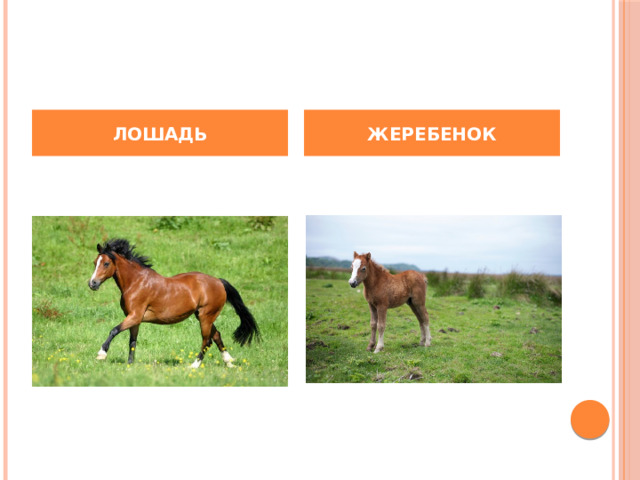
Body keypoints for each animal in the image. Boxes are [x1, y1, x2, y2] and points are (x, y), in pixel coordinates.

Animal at [87, 238, 260, 368]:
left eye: (106, 263)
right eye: (95, 262)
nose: (92, 283)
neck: (136, 282)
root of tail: (218, 282)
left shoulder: (135, 316)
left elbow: (114, 330)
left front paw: (101, 354)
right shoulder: (134, 319)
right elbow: (132, 341)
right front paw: (130, 364)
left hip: (206, 316)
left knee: (207, 340)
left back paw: (194, 365)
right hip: (203, 316)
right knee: (216, 335)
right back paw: (229, 362)